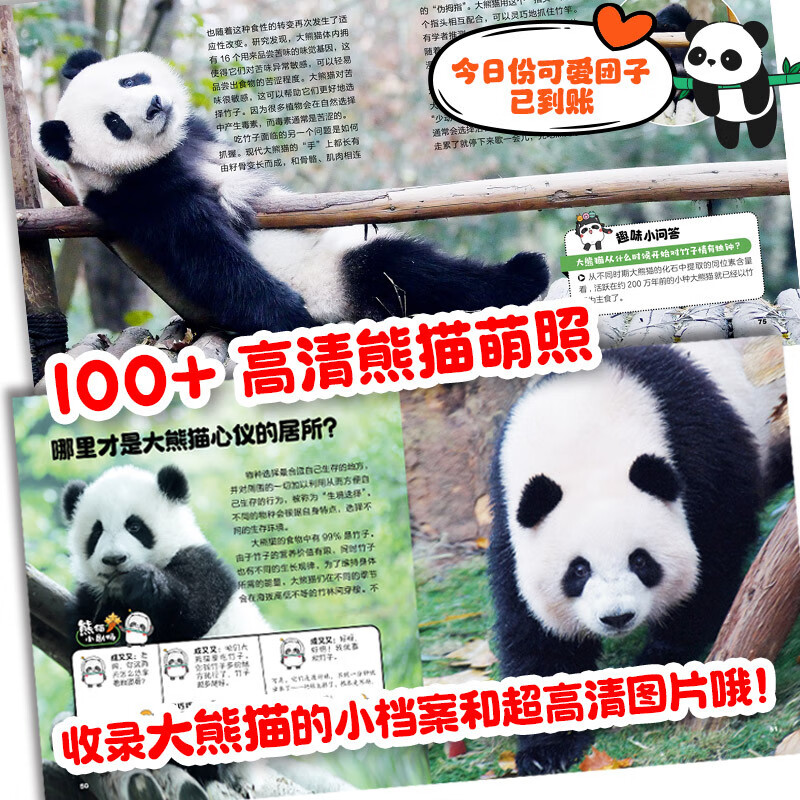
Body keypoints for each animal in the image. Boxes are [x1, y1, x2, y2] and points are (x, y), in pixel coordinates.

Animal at [38, 50, 550, 336]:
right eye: (114, 123)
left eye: (131, 79)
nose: (153, 106)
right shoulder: (145, 200)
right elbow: (208, 254)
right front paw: (285, 311)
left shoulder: (197, 139)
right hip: (331, 283)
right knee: (398, 270)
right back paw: (522, 275)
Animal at [487, 342, 785, 775]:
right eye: (578, 570)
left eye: (641, 561)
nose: (617, 618)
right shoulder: (510, 515)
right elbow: (532, 628)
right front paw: (546, 749)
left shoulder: (700, 453)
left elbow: (712, 560)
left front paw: (658, 664)